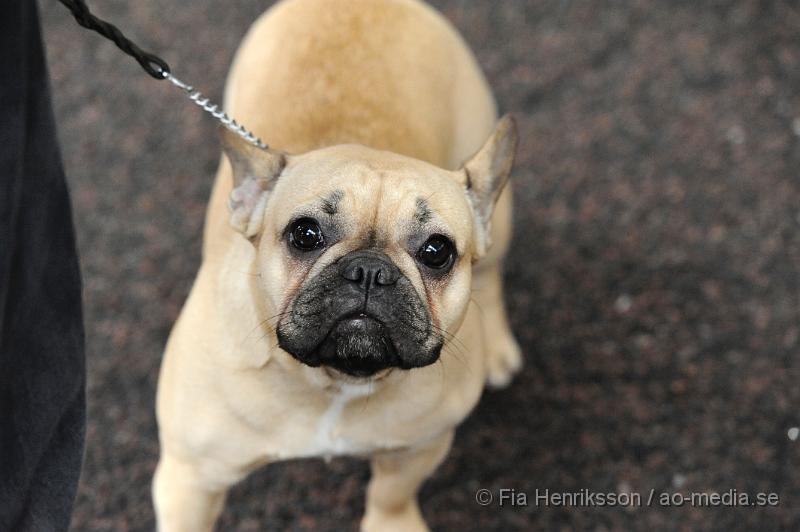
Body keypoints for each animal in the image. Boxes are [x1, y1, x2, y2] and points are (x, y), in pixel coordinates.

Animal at [153, 2, 520, 528]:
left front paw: (391, 522)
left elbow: (392, 492)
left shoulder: (420, 446)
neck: (335, 381)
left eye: (437, 251)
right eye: (304, 234)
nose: (370, 271)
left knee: (492, 272)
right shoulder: (190, 478)